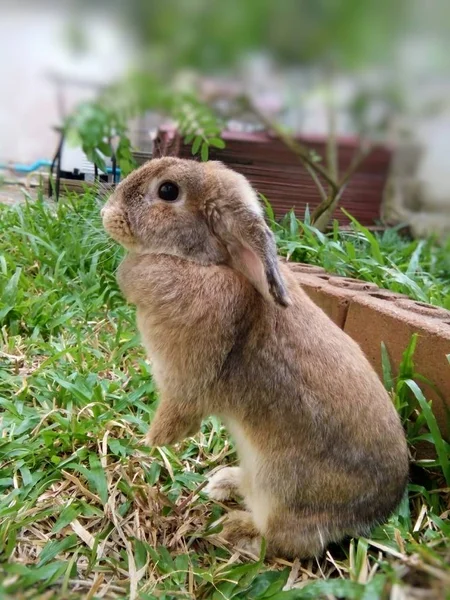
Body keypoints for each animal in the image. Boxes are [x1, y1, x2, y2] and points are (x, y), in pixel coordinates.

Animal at [101, 156, 408, 556]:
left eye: (168, 190)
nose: (107, 214)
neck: (209, 263)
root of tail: (372, 516)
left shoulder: (184, 382)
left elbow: (179, 412)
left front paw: (154, 440)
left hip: (280, 491)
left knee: (281, 538)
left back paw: (232, 528)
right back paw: (223, 483)